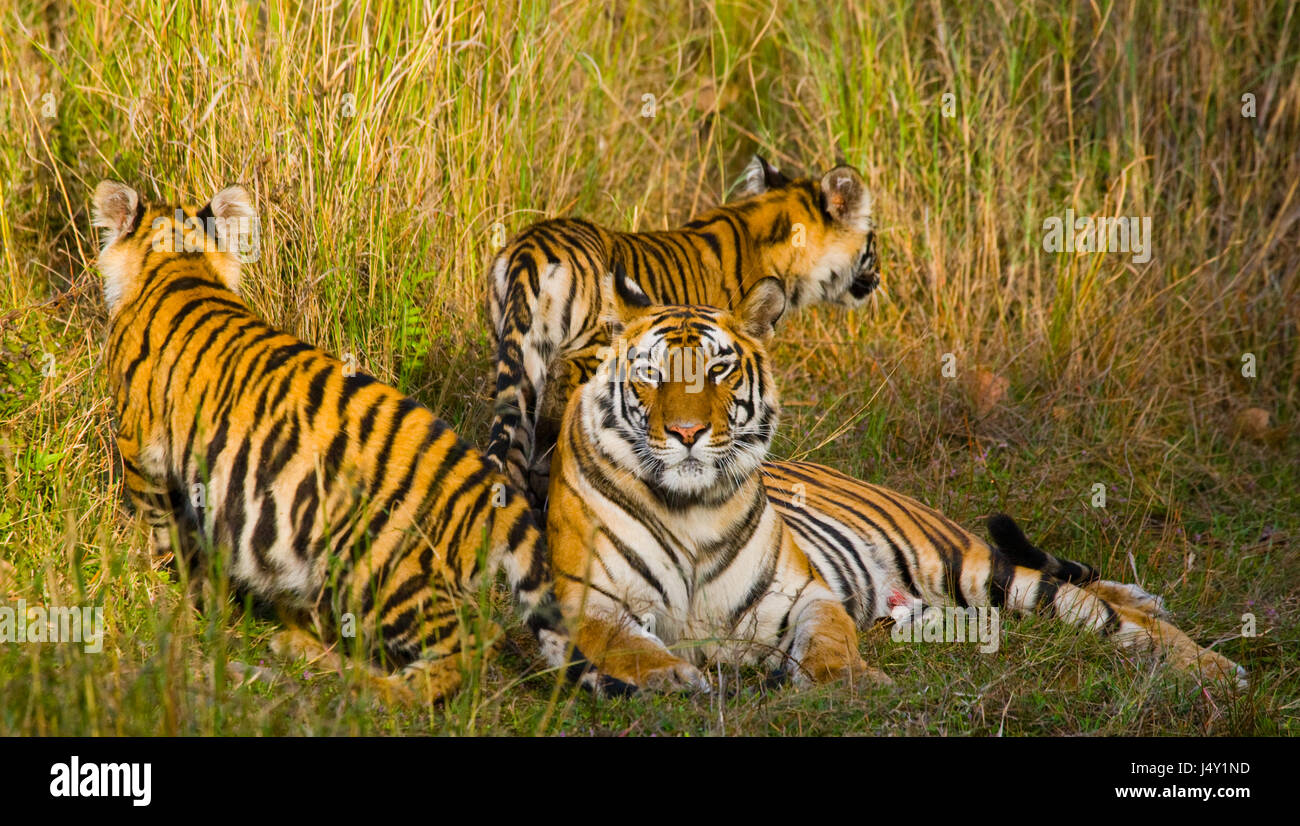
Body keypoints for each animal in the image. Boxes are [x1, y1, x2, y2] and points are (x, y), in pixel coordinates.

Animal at [94, 180, 592, 702]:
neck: (182, 266)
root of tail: (493, 491)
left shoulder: (140, 447)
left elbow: (159, 528)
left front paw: (158, 584)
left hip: (383, 573)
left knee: (472, 646)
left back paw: (372, 688)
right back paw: (300, 649)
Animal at [548, 267, 1248, 697]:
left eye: (718, 370)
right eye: (650, 373)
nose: (688, 432)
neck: (690, 506)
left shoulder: (803, 595)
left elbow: (830, 643)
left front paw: (854, 684)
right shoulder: (586, 599)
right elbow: (621, 642)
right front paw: (672, 676)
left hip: (970, 567)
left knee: (1101, 610)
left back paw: (1211, 665)